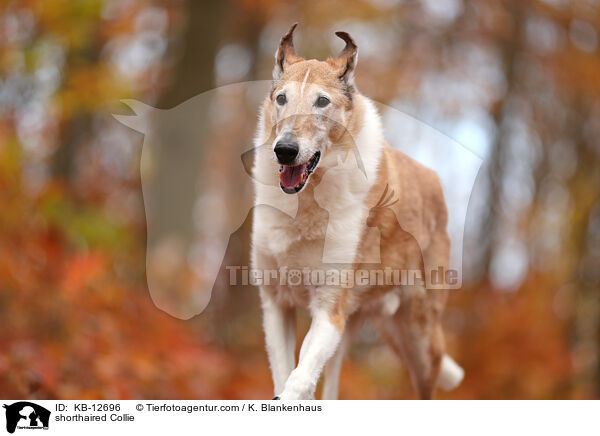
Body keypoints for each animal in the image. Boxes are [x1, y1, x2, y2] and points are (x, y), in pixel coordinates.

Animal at [250, 23, 464, 398]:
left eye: (322, 101)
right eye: (281, 98)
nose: (285, 150)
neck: (309, 200)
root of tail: (433, 180)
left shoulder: (329, 309)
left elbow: (299, 380)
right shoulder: (277, 304)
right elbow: (285, 373)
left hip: (418, 335)